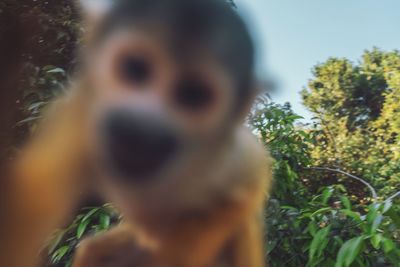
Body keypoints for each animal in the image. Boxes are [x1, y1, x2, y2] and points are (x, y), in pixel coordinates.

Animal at [1, 0, 272, 266]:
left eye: (194, 95)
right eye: (134, 69)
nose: (141, 125)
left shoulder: (225, 159)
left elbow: (249, 185)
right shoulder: (84, 112)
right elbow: (37, 192)